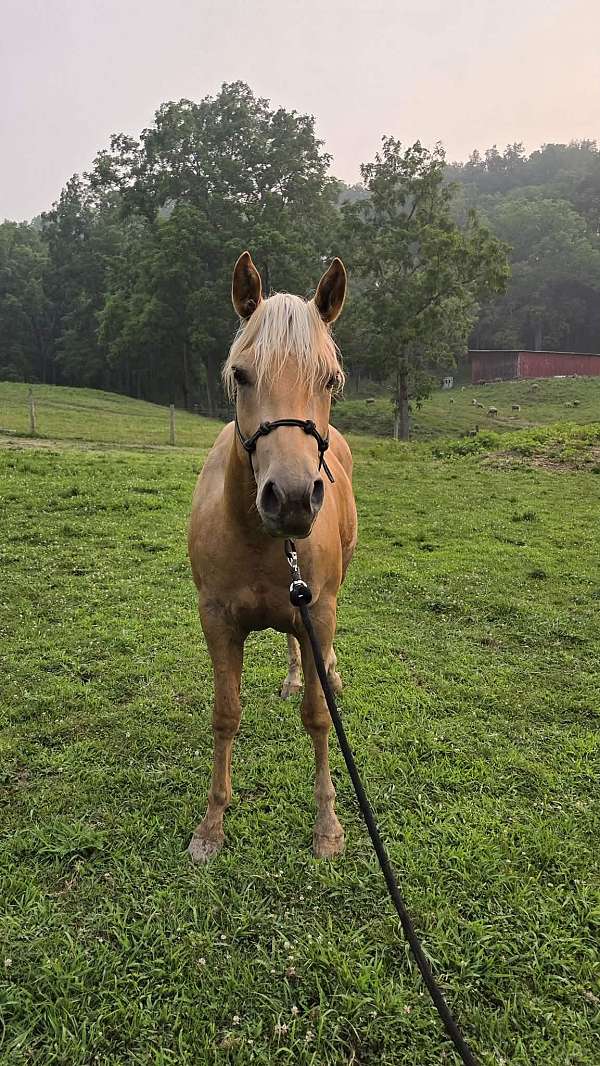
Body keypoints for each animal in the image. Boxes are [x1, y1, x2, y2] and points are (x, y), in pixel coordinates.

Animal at [187, 252, 357, 862]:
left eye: (330, 379)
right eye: (241, 374)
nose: (291, 498)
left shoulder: (319, 613)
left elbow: (318, 716)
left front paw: (327, 825)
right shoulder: (218, 620)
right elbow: (225, 714)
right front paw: (212, 823)